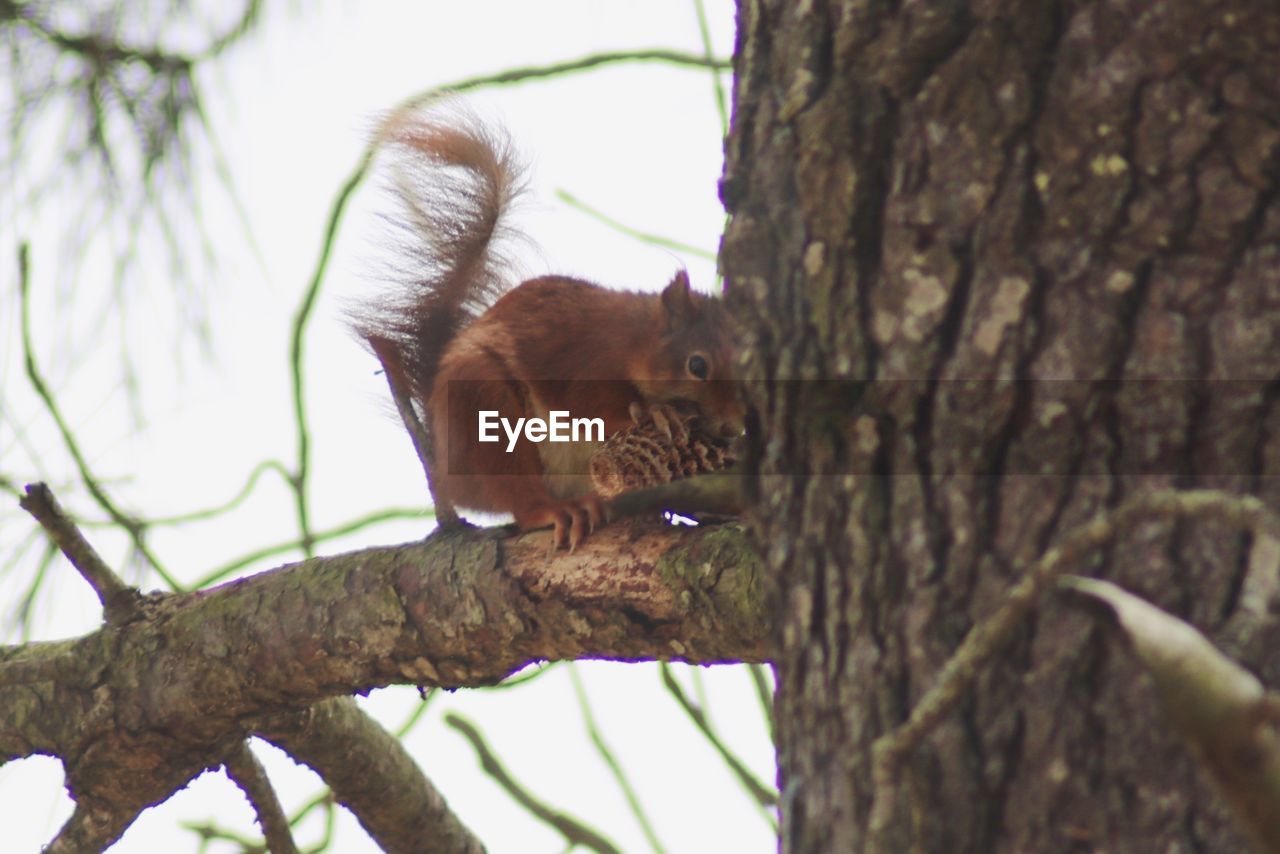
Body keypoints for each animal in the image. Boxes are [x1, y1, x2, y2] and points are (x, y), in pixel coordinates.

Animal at [355, 110, 747, 547]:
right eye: (697, 366)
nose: (733, 428)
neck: (633, 339)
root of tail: (444, 466)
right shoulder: (581, 355)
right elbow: (589, 402)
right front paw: (654, 410)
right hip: (483, 409)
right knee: (518, 494)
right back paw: (555, 509)